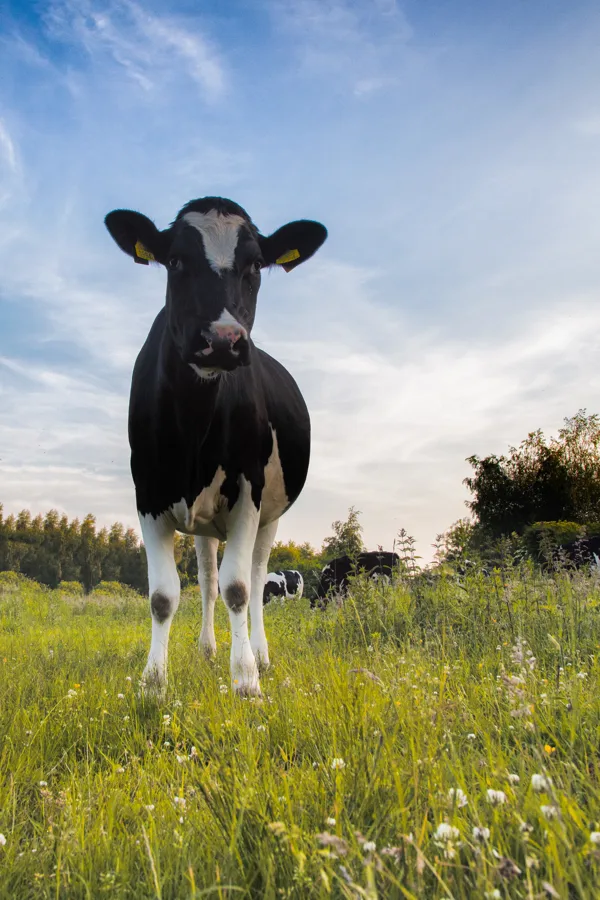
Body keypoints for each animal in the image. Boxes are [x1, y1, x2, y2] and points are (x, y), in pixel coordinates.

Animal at [104, 196, 327, 696]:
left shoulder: (247, 492)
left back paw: (260, 655)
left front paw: (245, 680)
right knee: (207, 578)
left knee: (257, 576)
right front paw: (154, 683)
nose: (222, 341)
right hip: (204, 522)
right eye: (175, 261)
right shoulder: (148, 495)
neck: (193, 426)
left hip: (270, 514)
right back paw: (208, 650)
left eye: (255, 265)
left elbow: (239, 589)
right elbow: (164, 595)